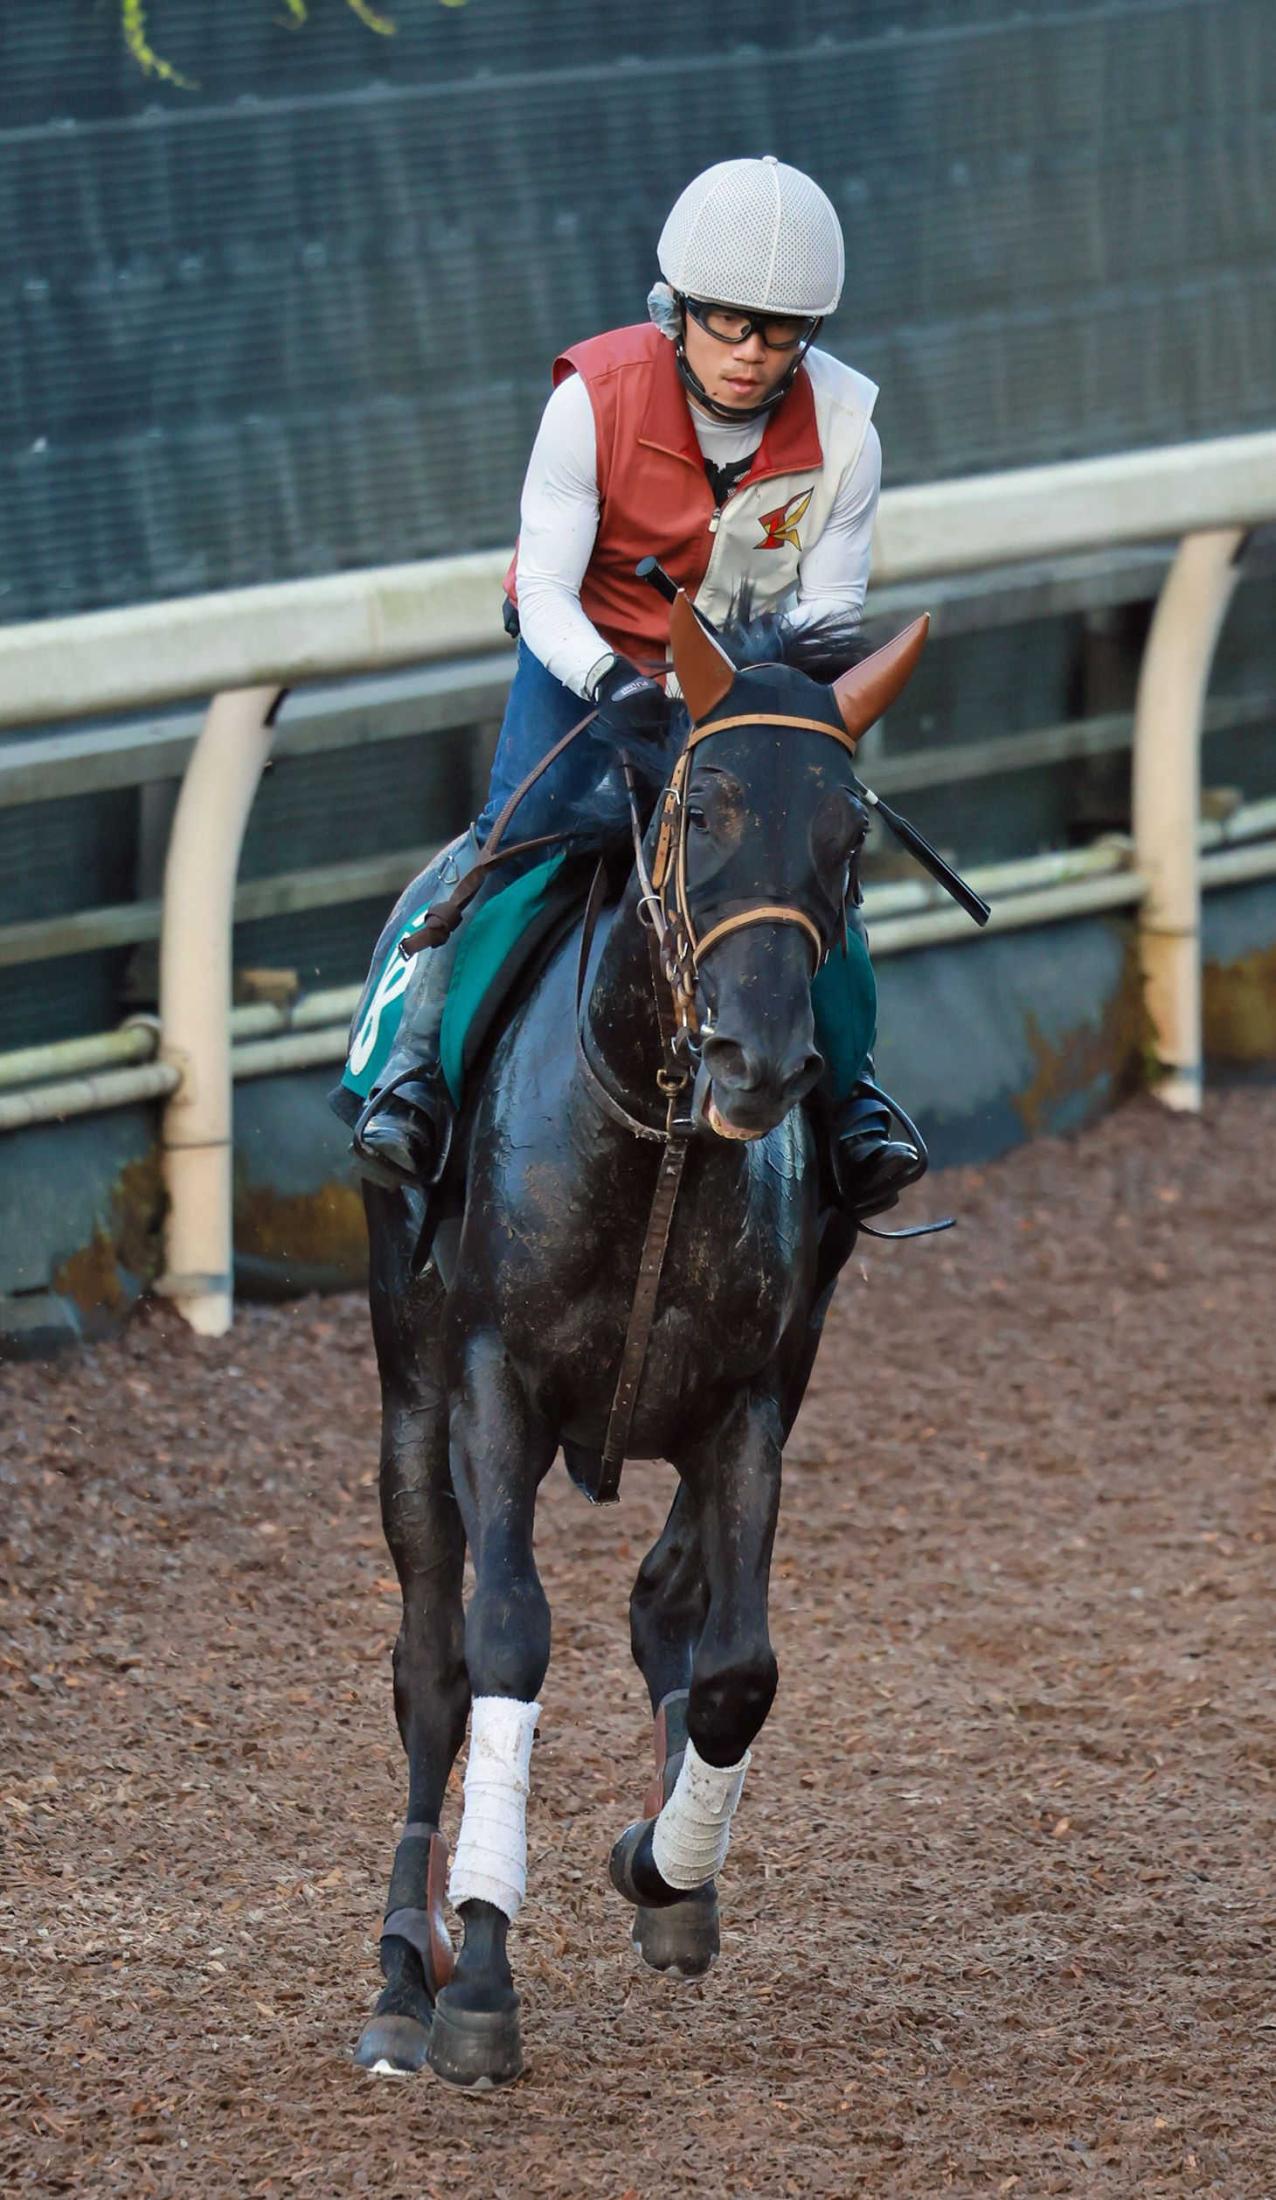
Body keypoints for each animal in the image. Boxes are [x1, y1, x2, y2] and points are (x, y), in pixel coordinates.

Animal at [352, 594, 928, 2085]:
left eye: (849, 836)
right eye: (702, 805)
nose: (761, 1060)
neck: (656, 1138)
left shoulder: (748, 1401)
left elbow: (734, 1669)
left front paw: (665, 1863)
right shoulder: (489, 1384)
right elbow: (501, 1642)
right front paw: (478, 1977)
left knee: (667, 1603)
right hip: (406, 1398)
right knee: (427, 1665)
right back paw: (402, 1976)